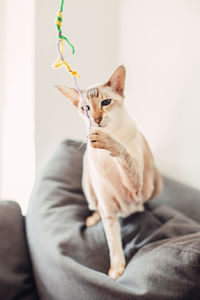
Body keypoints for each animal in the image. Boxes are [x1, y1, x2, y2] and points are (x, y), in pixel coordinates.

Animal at [56, 64, 162, 280]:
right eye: (85, 108)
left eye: (106, 102)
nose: (96, 120)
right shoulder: (108, 209)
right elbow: (113, 243)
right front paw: (116, 270)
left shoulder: (136, 186)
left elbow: (122, 154)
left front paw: (106, 140)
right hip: (88, 185)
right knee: (95, 208)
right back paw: (91, 219)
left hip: (156, 184)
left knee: (145, 200)